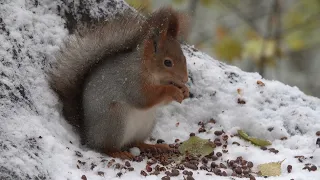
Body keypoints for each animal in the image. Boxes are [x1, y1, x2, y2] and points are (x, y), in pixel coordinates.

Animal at [50, 6, 190, 159]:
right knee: (106, 147)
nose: (185, 79)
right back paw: (118, 153)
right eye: (167, 62)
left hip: (145, 125)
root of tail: (88, 136)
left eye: (184, 57)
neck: (147, 70)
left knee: (135, 142)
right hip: (115, 121)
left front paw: (184, 90)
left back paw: (154, 146)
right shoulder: (132, 81)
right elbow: (145, 98)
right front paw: (173, 90)